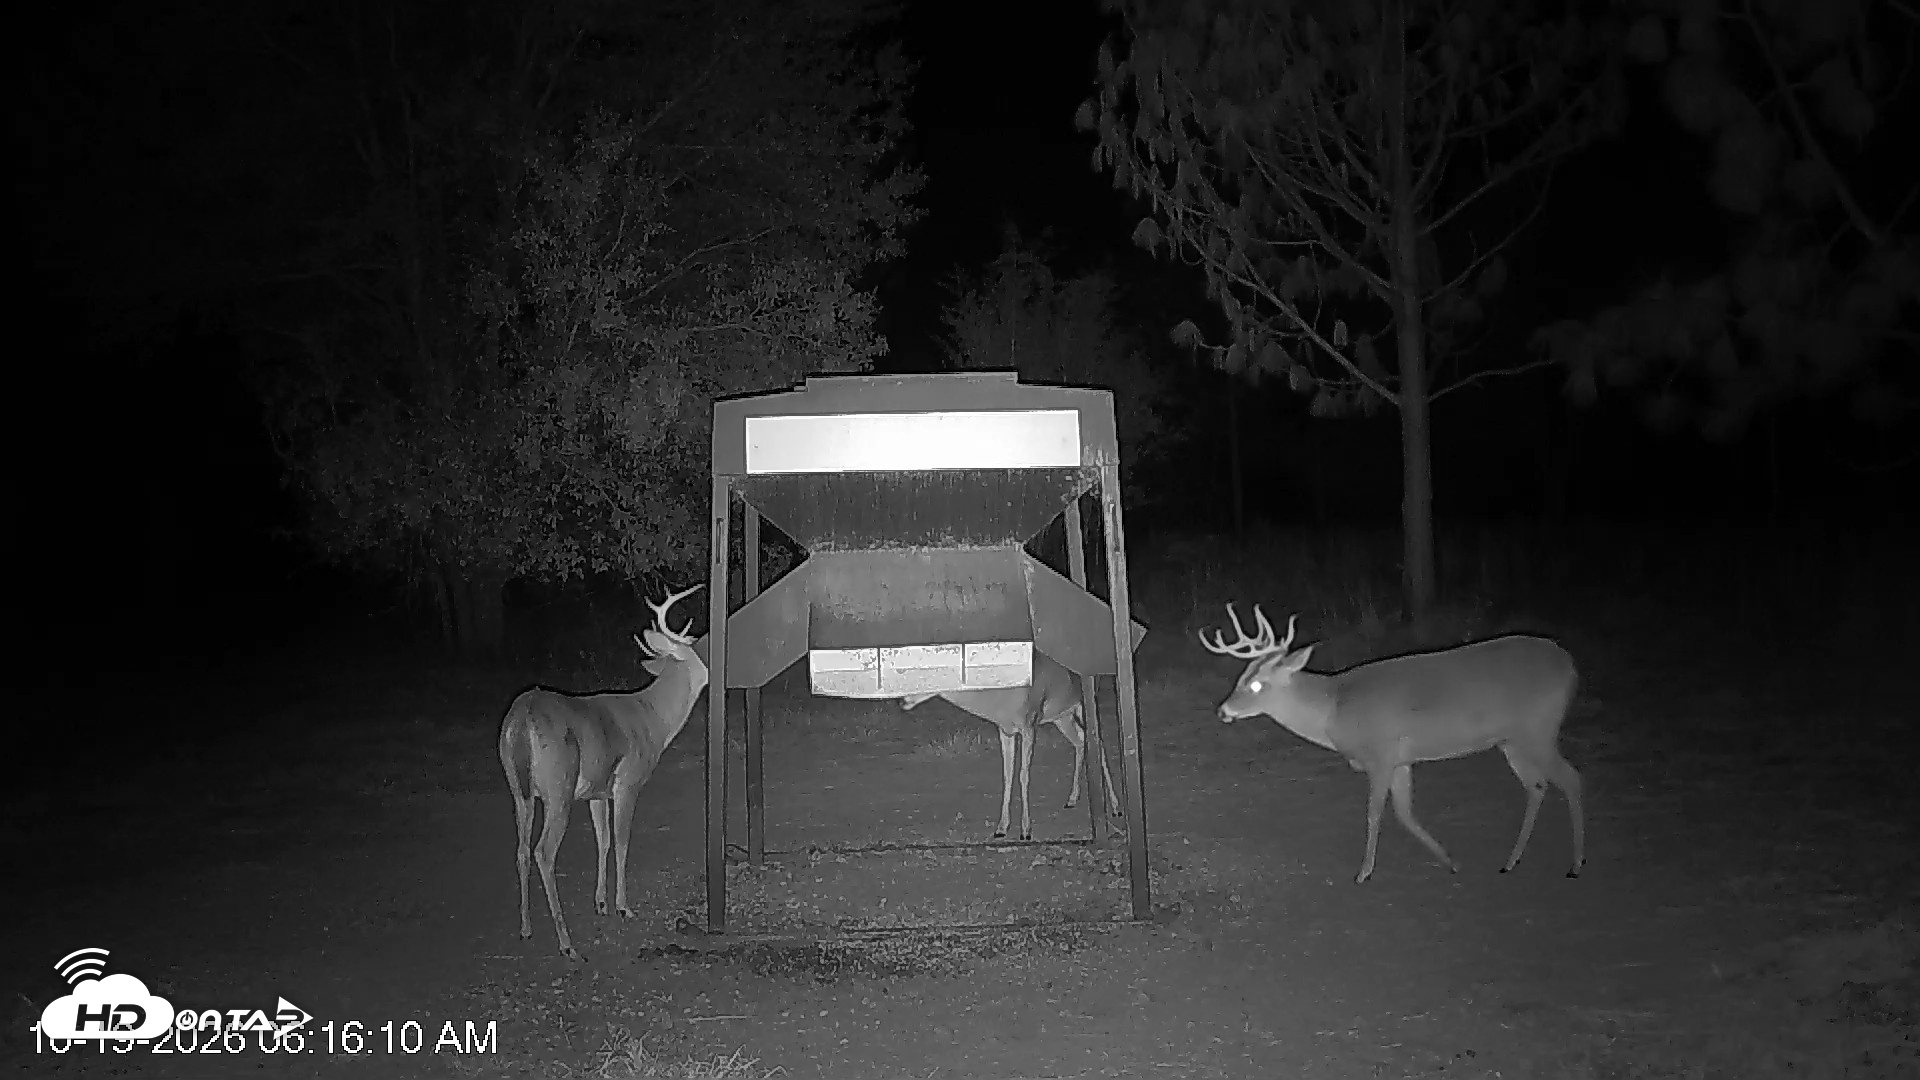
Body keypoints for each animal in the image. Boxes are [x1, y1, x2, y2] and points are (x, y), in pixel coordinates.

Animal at [497, 583, 707, 960]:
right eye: (693, 645)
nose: (711, 669)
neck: (653, 719)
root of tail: (521, 720)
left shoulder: (596, 791)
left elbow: (604, 840)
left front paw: (600, 903)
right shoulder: (627, 782)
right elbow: (622, 841)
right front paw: (623, 906)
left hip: (519, 788)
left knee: (520, 849)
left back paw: (526, 928)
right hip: (558, 787)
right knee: (543, 852)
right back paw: (566, 943)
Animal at [898, 652, 1123, 841]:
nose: (903, 700)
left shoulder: (1029, 723)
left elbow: (1023, 774)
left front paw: (1025, 830)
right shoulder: (1005, 731)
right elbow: (1007, 775)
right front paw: (1001, 828)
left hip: (1083, 707)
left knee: (1097, 741)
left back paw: (1116, 807)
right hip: (1062, 716)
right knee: (1081, 741)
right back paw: (1072, 799)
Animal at [1199, 604, 1585, 884]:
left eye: (1257, 685)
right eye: (1241, 677)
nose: (1223, 710)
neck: (1334, 709)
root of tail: (1570, 664)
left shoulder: (1381, 753)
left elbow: (1374, 813)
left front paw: (1363, 873)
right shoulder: (1401, 759)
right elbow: (1404, 812)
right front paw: (1451, 862)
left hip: (1539, 728)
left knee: (1571, 778)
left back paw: (1575, 864)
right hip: (1512, 740)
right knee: (1537, 785)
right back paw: (1511, 862)